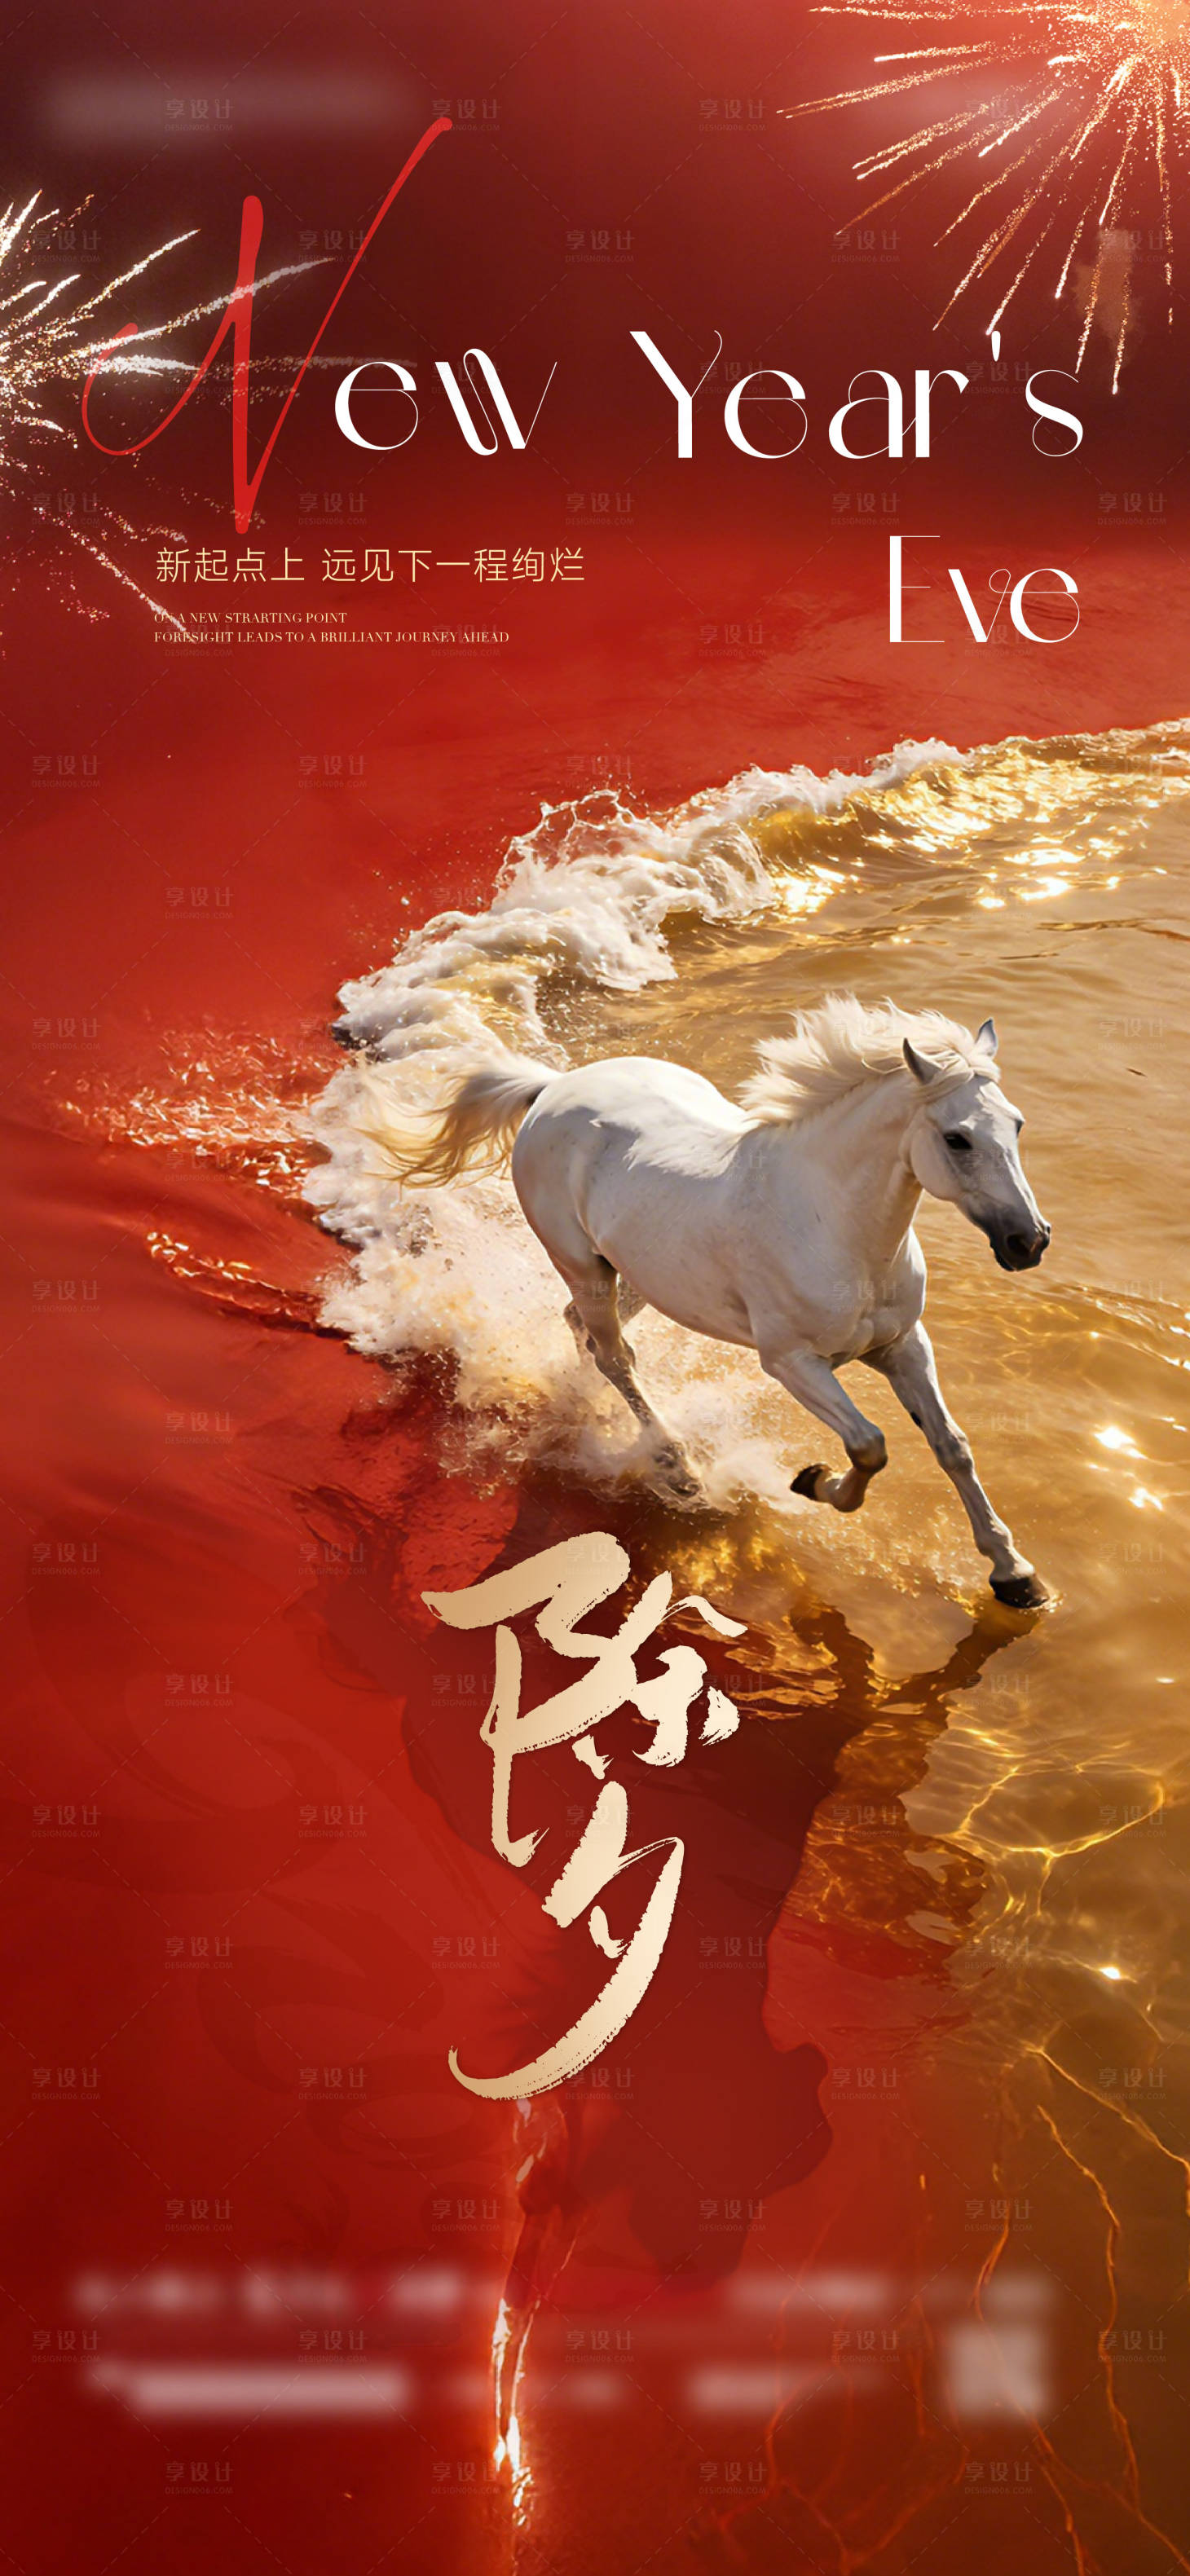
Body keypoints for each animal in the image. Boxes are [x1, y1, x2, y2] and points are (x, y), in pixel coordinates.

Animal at [359, 995, 1052, 1608]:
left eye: (1017, 1123)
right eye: (958, 1139)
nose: (1030, 1240)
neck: (836, 1227)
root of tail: (551, 1090)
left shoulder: (903, 1344)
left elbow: (952, 1445)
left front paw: (1016, 1575)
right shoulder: (793, 1361)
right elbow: (869, 1445)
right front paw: (813, 1482)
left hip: (634, 1273)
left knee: (587, 1337)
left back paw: (590, 1414)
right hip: (582, 1265)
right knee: (614, 1356)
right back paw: (678, 1469)